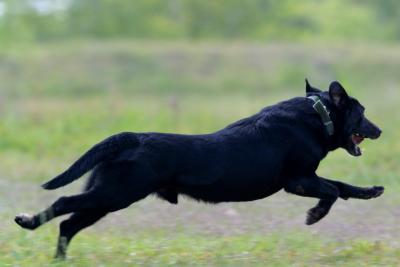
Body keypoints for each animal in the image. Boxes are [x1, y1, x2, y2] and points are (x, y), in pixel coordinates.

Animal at [14, 80, 384, 260]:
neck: (317, 116)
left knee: (68, 224)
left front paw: (372, 191)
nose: (380, 130)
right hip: (113, 194)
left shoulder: (306, 178)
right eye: (362, 112)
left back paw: (59, 259)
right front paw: (315, 216)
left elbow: (342, 186)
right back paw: (26, 221)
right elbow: (333, 189)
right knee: (62, 205)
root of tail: (130, 137)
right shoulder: (298, 180)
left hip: (105, 199)